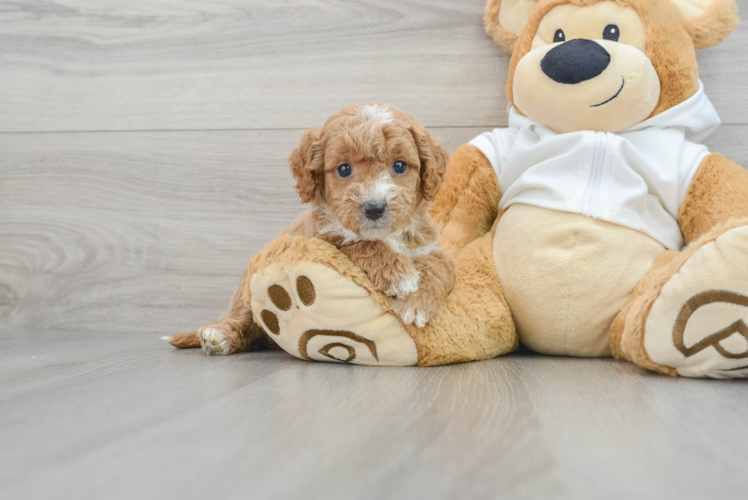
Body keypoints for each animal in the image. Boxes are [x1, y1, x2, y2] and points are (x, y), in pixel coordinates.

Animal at [169, 102, 456, 356]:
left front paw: (418, 304)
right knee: (240, 319)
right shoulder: (324, 240)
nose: (374, 208)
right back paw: (218, 337)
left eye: (399, 165)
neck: (387, 236)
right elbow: (359, 244)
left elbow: (441, 265)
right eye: (344, 169)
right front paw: (399, 275)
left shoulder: (426, 244)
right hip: (244, 294)